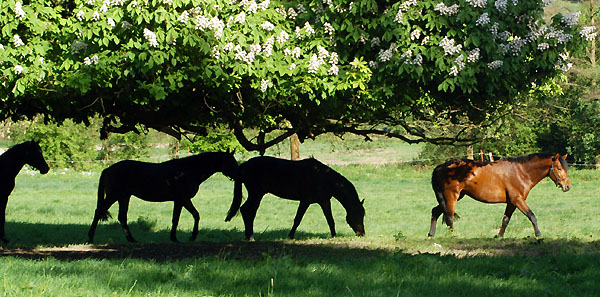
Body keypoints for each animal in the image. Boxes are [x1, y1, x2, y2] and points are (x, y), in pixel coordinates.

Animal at [88, 151, 238, 242]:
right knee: (99, 211)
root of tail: (108, 169)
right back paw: (90, 238)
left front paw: (183, 237)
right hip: (113, 196)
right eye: (230, 162)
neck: (188, 170)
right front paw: (182, 238)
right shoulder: (181, 199)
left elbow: (189, 216)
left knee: (122, 217)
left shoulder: (182, 200)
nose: (239, 174)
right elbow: (182, 217)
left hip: (124, 197)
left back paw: (131, 239)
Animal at [225, 156, 366, 239]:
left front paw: (334, 236)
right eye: (357, 214)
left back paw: (249, 235)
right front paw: (290, 236)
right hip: (256, 194)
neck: (324, 178)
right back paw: (250, 237)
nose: (362, 233)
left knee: (249, 211)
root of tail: (244, 165)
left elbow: (330, 220)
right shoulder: (305, 201)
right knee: (247, 210)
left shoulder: (324, 201)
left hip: (257, 195)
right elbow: (297, 219)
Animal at [426, 153, 572, 238]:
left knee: (435, 211)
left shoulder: (511, 202)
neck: (521, 172)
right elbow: (532, 216)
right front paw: (539, 236)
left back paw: (431, 234)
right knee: (449, 217)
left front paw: (499, 236)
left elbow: (505, 220)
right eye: (559, 168)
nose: (567, 186)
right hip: (451, 197)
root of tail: (440, 167)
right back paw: (453, 236)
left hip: (450, 198)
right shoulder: (517, 200)